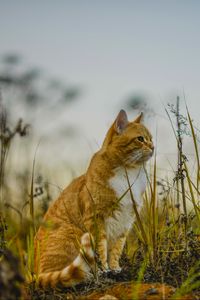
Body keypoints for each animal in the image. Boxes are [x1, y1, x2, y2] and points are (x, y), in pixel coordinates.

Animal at [34, 109, 153, 288]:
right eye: (140, 139)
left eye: (151, 138)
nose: (153, 147)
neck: (129, 172)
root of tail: (35, 274)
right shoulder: (96, 218)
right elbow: (101, 247)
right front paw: (104, 270)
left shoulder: (125, 221)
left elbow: (116, 249)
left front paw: (115, 268)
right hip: (73, 232)